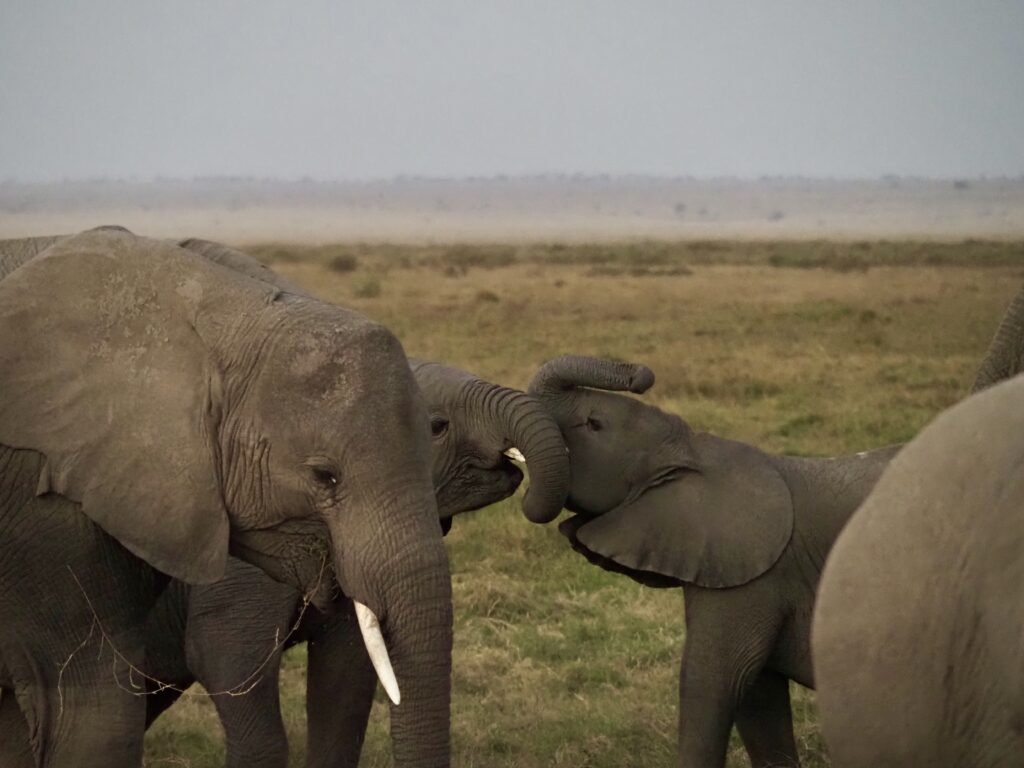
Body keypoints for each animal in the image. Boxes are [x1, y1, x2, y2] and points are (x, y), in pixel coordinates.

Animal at [524, 358, 901, 768]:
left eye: (594, 424)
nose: (640, 376)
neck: (694, 451)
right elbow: (757, 696)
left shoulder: (753, 574)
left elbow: (712, 682)